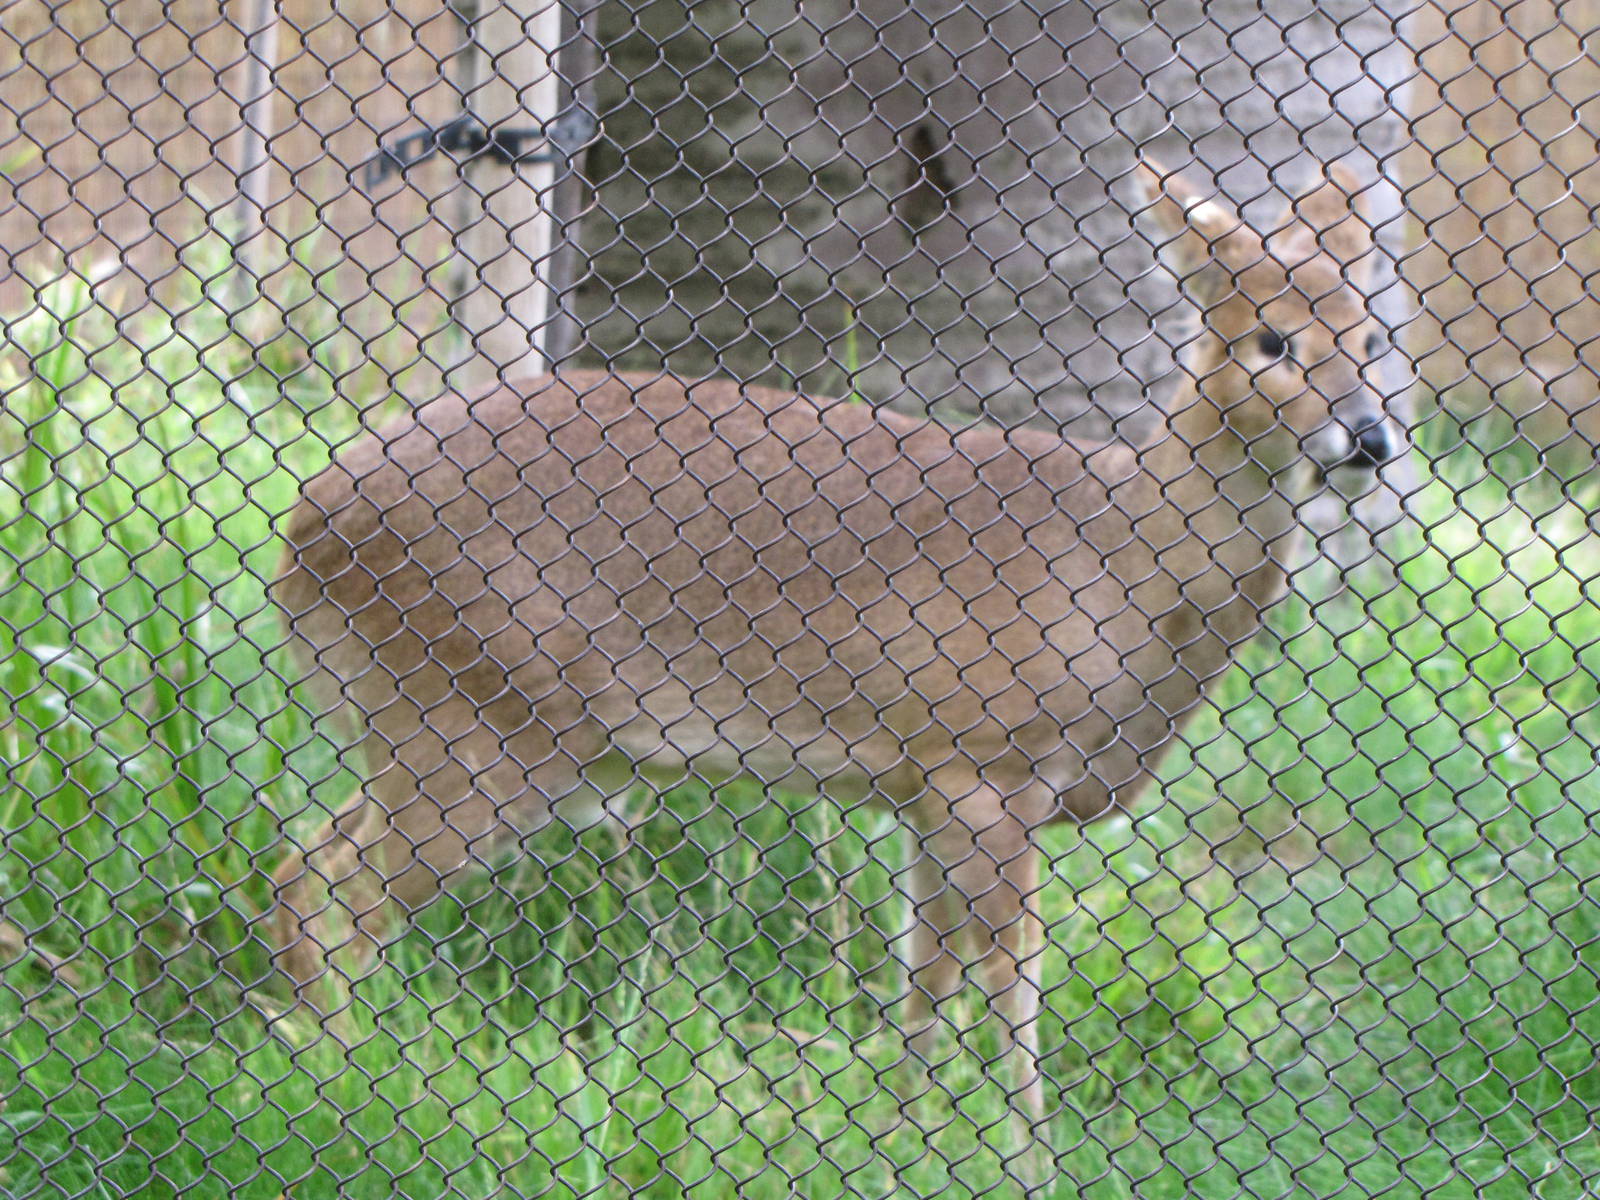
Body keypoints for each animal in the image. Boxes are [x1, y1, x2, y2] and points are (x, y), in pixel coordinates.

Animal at [270, 159, 1401, 1119]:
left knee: (307, 860)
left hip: (450, 720)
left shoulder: (922, 779)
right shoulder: (987, 756)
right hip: (476, 712)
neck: (1124, 566)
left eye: (1371, 337)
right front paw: (1026, 1150)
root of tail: (307, 526)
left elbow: (925, 976)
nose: (1372, 437)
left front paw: (904, 1134)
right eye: (1272, 341)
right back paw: (343, 1080)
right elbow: (1011, 977)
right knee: (333, 883)